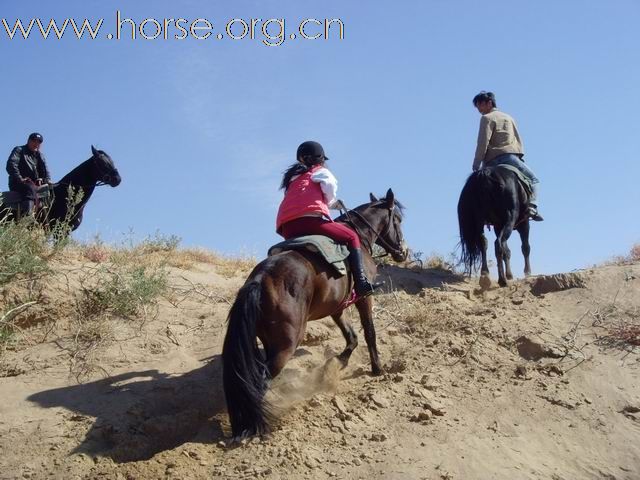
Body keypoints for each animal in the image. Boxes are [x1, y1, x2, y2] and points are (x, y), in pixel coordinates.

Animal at [222, 188, 408, 438]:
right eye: (397, 219)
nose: (402, 252)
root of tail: (260, 278)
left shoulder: (337, 307)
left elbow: (352, 337)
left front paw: (336, 364)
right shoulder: (364, 298)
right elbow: (369, 332)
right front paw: (377, 368)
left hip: (271, 341)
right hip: (286, 344)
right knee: (261, 379)